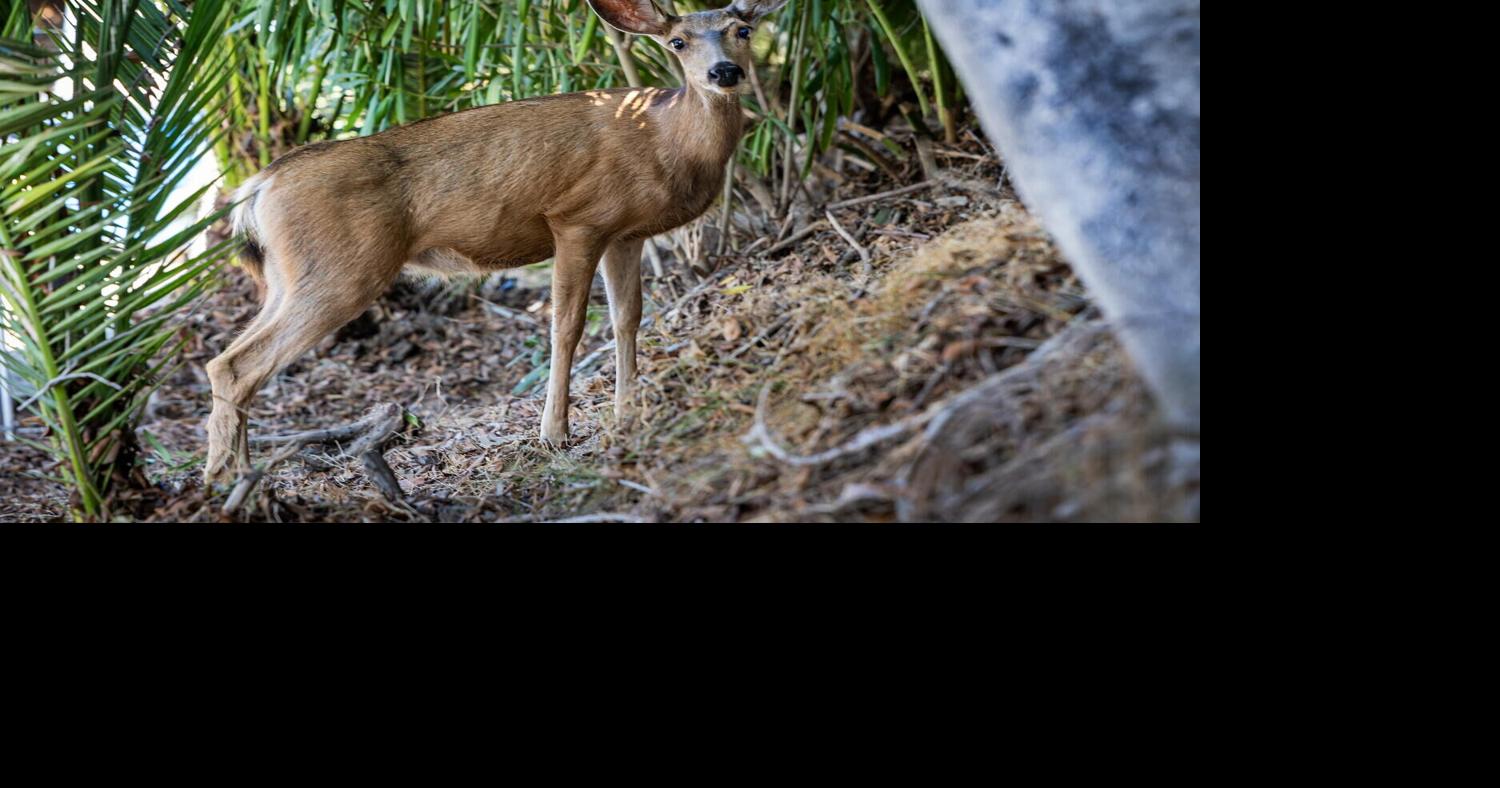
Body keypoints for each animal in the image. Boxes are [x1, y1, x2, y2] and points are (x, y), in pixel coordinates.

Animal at [205, 0, 789, 485]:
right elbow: (566, 326)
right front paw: (554, 434)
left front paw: (627, 415)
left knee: (224, 359)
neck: (665, 139)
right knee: (238, 365)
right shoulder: (578, 219)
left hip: (289, 275)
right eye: (678, 41)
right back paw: (231, 479)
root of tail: (257, 188)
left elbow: (628, 318)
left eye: (742, 30)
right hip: (342, 267)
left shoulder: (626, 233)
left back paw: (229, 475)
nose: (725, 72)